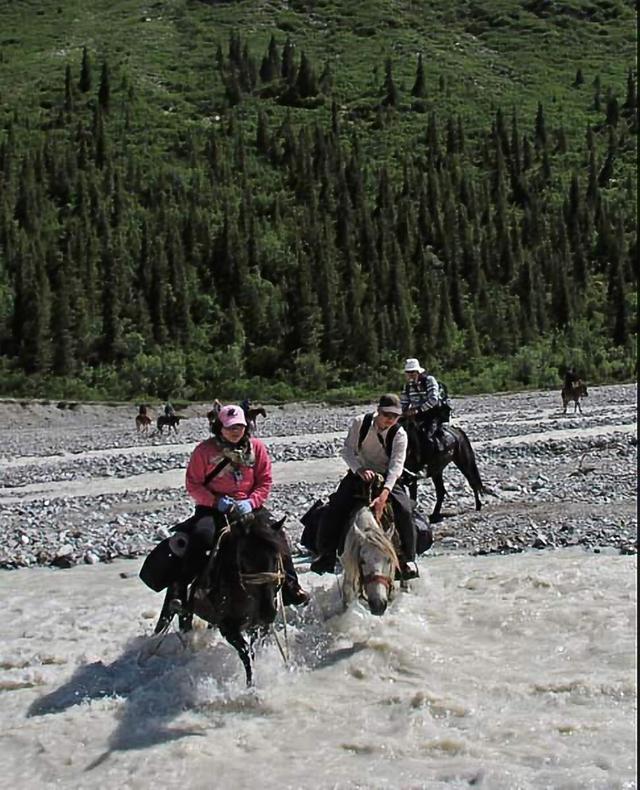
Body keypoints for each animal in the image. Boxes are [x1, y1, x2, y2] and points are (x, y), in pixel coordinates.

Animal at [154, 512, 286, 688]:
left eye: (277, 556)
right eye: (245, 558)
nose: (268, 611)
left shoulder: (258, 626)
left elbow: (254, 648)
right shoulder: (228, 628)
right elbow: (246, 654)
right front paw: (250, 686)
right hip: (184, 608)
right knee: (184, 625)